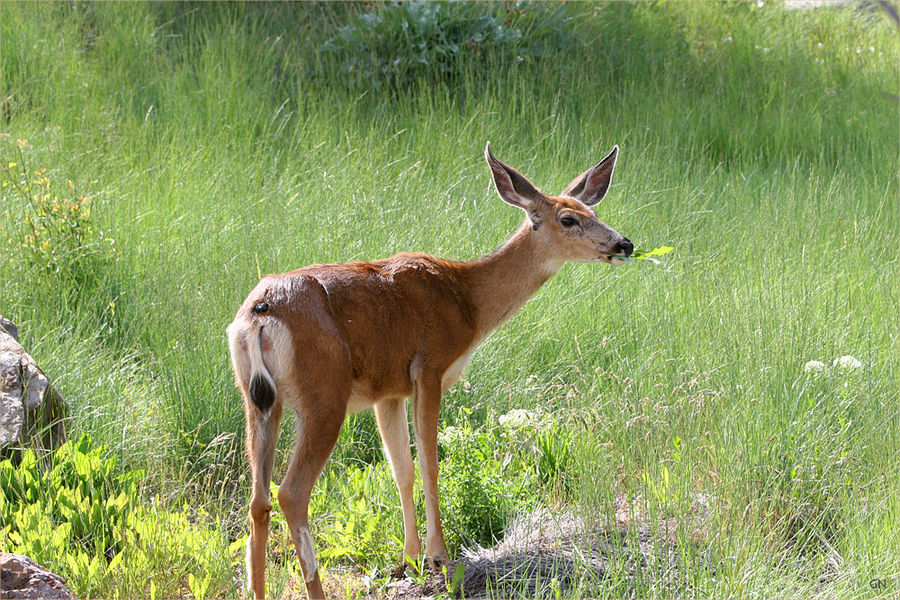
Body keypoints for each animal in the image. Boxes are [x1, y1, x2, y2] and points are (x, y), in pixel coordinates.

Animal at [227, 143, 632, 596]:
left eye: (593, 210)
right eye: (568, 219)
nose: (625, 244)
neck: (468, 300)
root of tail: (259, 313)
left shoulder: (387, 389)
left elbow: (401, 468)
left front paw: (409, 559)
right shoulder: (430, 367)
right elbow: (429, 463)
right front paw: (439, 557)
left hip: (258, 400)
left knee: (258, 498)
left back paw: (257, 589)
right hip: (323, 396)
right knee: (291, 493)